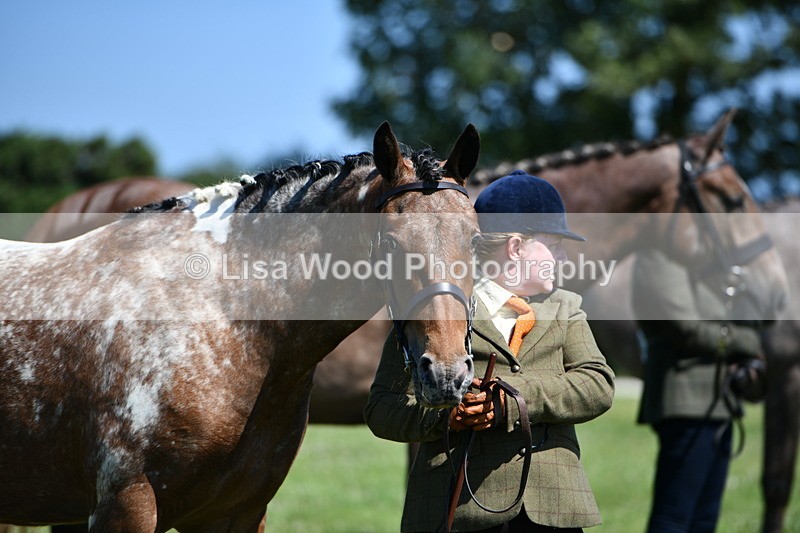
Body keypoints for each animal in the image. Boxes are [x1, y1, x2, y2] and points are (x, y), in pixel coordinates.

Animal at [0, 122, 481, 531]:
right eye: (391, 242)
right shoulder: (125, 506)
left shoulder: (237, 512)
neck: (231, 320)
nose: (447, 373)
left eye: (475, 240)